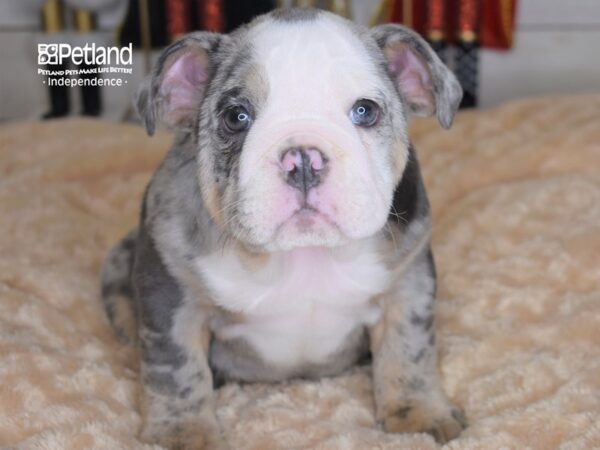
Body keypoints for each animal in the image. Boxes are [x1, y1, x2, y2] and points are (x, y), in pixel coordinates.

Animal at [101, 7, 466, 450]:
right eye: (236, 116)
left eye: (365, 111)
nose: (303, 158)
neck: (300, 255)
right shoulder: (170, 294)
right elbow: (175, 368)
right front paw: (183, 434)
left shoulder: (408, 282)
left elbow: (409, 347)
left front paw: (418, 415)